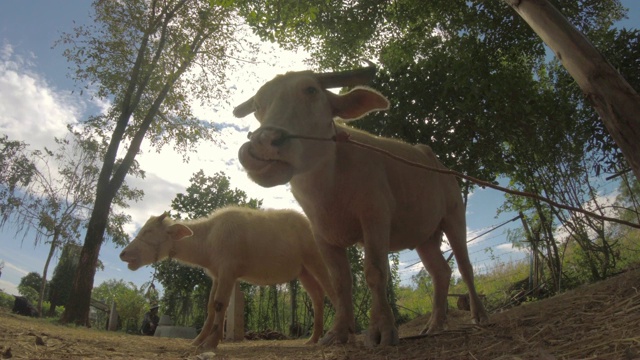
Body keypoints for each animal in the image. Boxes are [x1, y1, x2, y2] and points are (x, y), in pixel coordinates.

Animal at [119, 207, 336, 350]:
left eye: (148, 231)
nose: (123, 254)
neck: (209, 238)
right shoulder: (216, 276)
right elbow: (210, 307)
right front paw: (198, 341)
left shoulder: (228, 272)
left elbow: (220, 304)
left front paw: (211, 343)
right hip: (304, 271)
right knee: (317, 297)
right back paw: (313, 339)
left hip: (318, 261)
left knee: (333, 290)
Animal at [235, 65, 490, 346]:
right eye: (257, 106)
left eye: (311, 90)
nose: (262, 143)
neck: (329, 187)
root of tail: (438, 164)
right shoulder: (323, 236)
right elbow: (339, 282)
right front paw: (337, 333)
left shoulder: (375, 217)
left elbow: (375, 272)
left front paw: (383, 330)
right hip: (424, 236)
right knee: (441, 273)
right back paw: (434, 324)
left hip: (454, 216)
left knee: (465, 267)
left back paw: (479, 315)